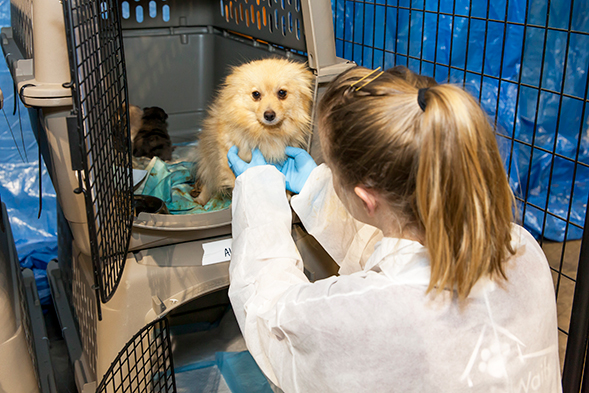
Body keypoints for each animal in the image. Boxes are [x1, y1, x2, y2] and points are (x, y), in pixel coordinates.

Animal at [192, 59, 312, 205]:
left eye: (282, 93)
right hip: (209, 164)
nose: (269, 115)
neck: (266, 133)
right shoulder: (226, 160)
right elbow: (236, 181)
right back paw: (200, 200)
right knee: (208, 184)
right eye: (256, 94)